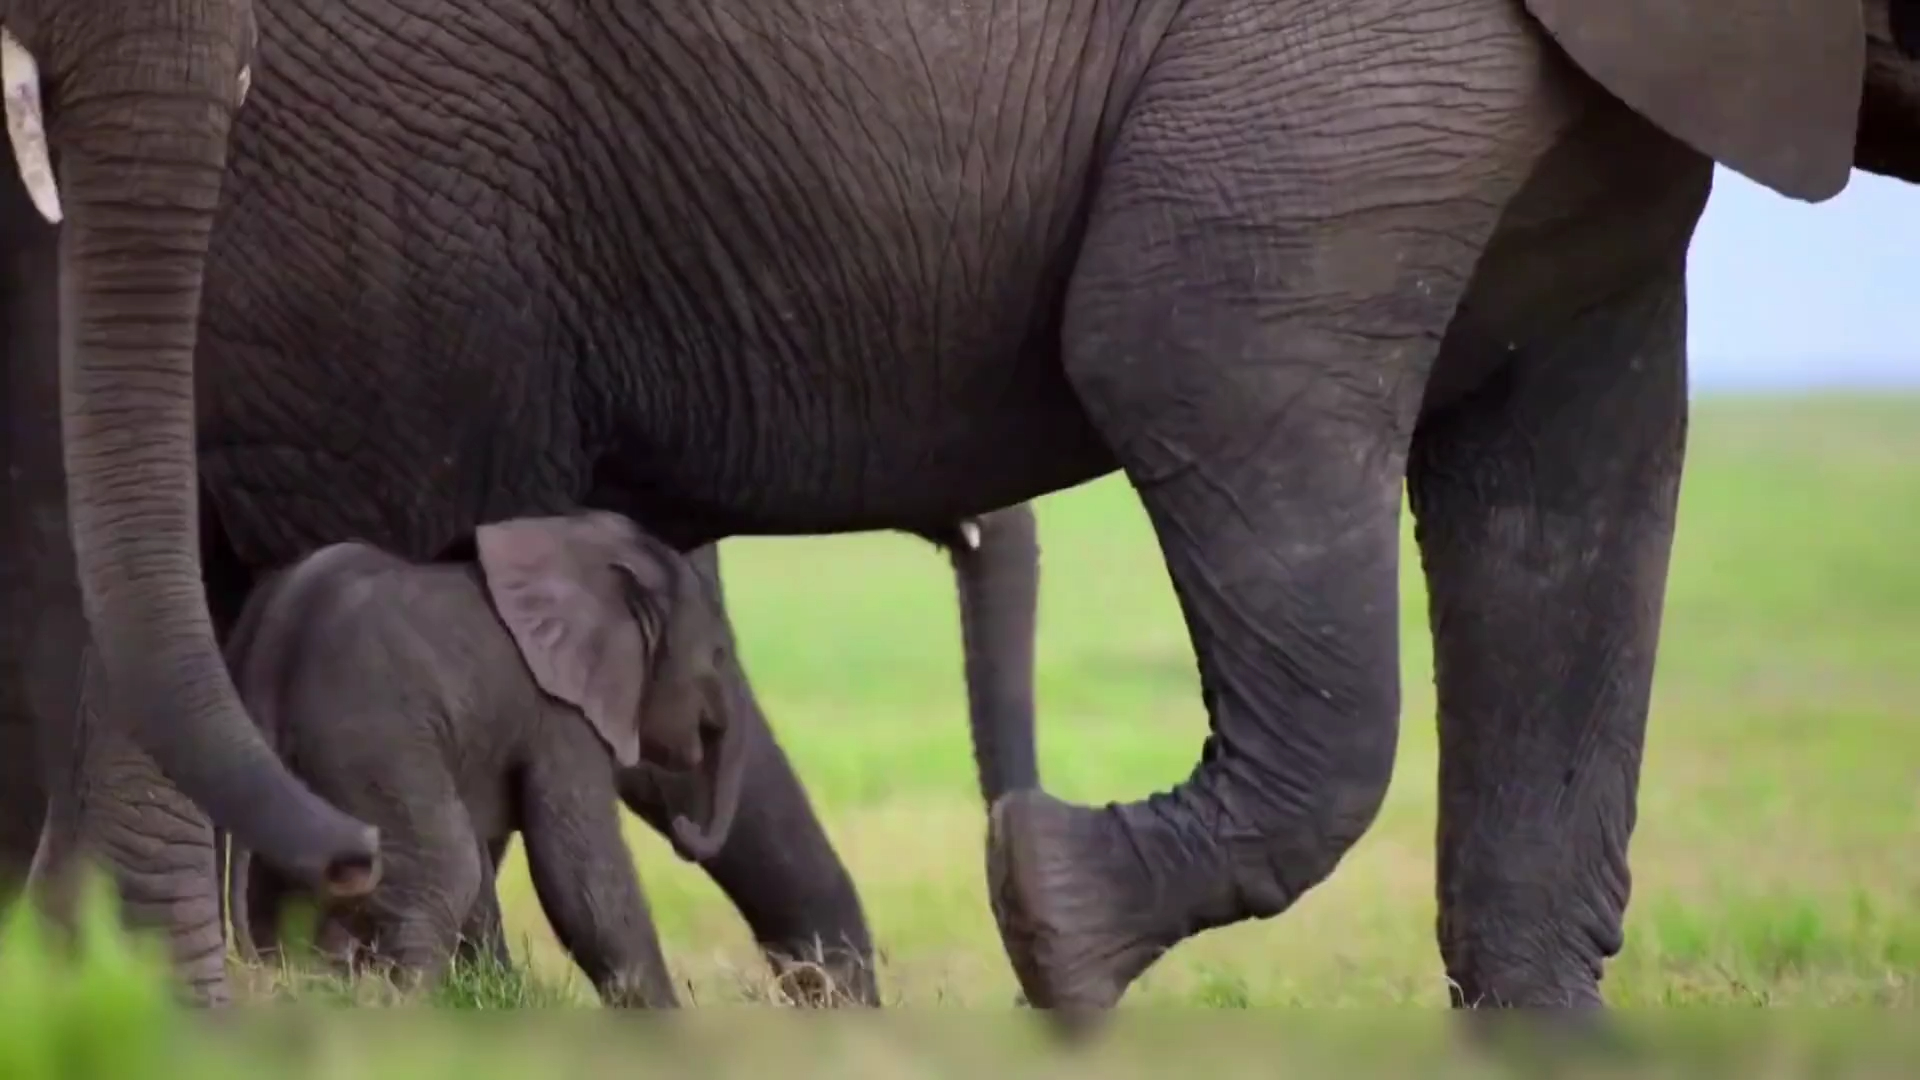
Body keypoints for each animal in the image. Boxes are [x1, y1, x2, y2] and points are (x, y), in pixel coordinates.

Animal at [217, 511, 741, 999]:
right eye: (717, 654)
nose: (683, 827)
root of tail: (267, 665)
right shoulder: (560, 714)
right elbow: (581, 879)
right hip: (368, 742)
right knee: (449, 870)